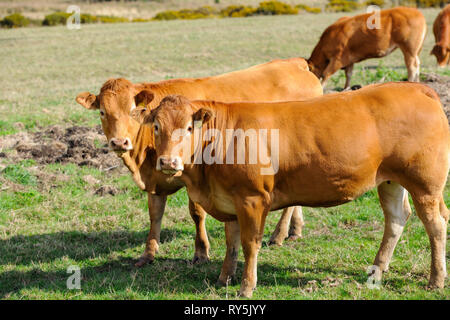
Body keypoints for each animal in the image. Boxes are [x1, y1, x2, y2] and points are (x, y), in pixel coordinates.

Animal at [76, 58, 324, 266]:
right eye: (102, 112)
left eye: (132, 110)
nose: (119, 142)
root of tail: (294, 63)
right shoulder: (155, 182)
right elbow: (155, 215)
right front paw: (148, 254)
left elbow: (197, 213)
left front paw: (201, 252)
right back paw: (294, 229)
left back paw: (279, 233)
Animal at [139, 82, 448, 298]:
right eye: (156, 126)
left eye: (189, 128)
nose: (168, 162)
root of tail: (416, 87)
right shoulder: (229, 199)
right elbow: (231, 243)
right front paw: (224, 278)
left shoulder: (252, 199)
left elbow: (250, 244)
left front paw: (246, 286)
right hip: (390, 181)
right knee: (396, 219)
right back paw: (378, 269)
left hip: (425, 185)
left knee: (435, 225)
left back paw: (435, 280)